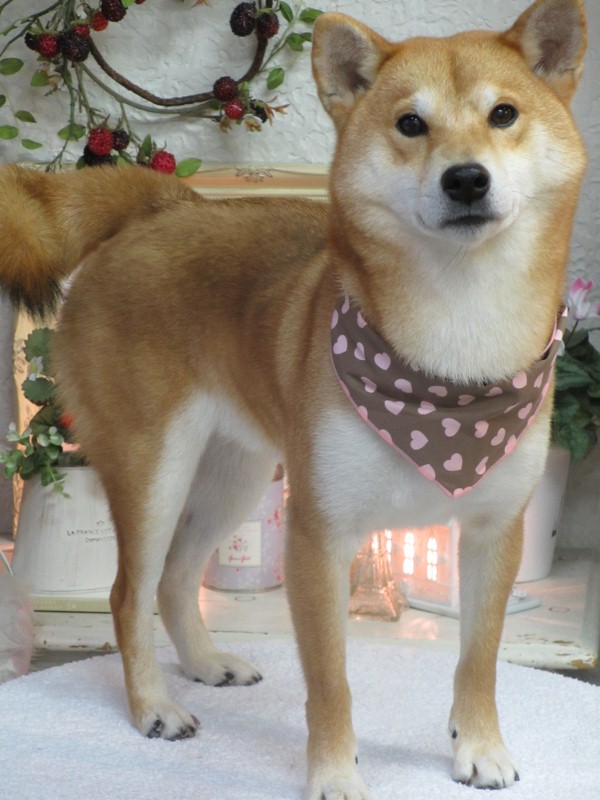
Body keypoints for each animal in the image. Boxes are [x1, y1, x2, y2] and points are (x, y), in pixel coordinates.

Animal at [0, 0, 587, 796]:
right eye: (410, 124)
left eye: (504, 114)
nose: (466, 179)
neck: (456, 352)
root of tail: (163, 208)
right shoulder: (320, 535)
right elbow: (331, 681)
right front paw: (336, 775)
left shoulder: (495, 530)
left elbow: (479, 657)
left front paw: (479, 748)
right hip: (155, 468)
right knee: (130, 593)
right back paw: (154, 706)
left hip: (235, 475)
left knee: (175, 581)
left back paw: (206, 662)